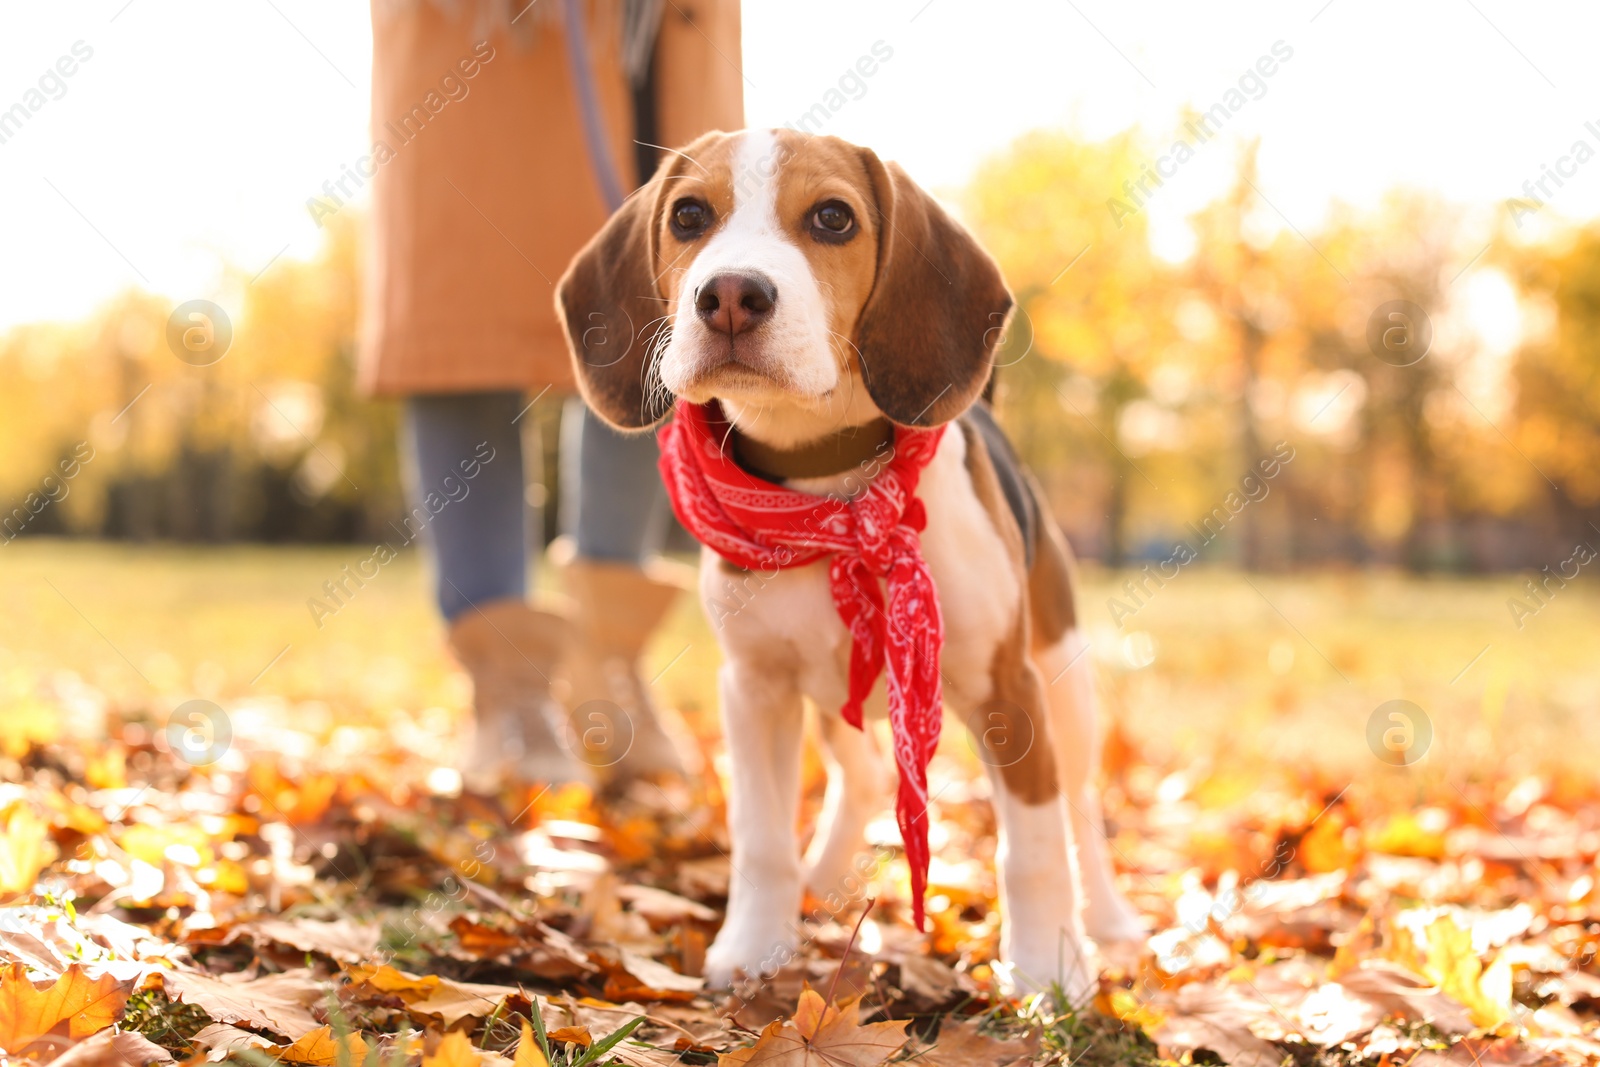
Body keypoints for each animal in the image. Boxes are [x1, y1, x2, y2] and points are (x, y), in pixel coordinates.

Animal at [556, 129, 1145, 998]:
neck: (828, 486)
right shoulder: (756, 687)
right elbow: (760, 834)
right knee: (863, 776)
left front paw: (1045, 972)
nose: (730, 294)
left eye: (833, 217)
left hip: (1063, 679)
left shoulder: (1008, 690)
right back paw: (819, 879)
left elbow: (1033, 846)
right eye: (689, 214)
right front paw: (754, 946)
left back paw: (1107, 922)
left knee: (1080, 811)